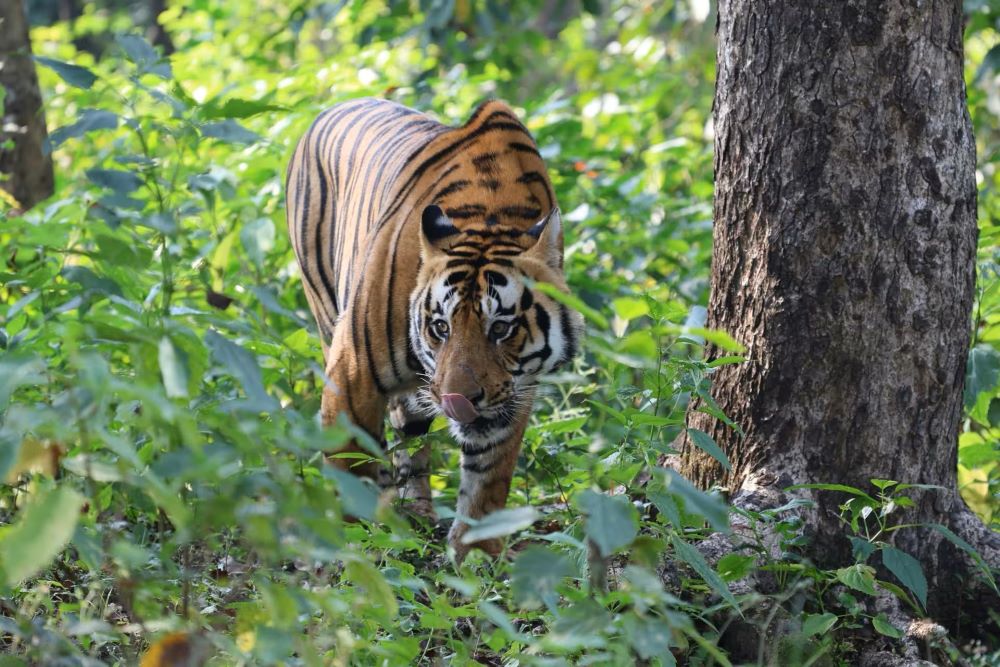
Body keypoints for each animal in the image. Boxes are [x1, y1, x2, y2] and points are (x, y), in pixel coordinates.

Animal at [285, 97, 583, 560]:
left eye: (501, 328)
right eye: (441, 327)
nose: (459, 400)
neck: (493, 215)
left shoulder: (516, 390)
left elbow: (488, 480)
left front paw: (477, 556)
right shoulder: (351, 373)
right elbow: (351, 469)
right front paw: (352, 551)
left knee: (410, 436)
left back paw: (418, 513)